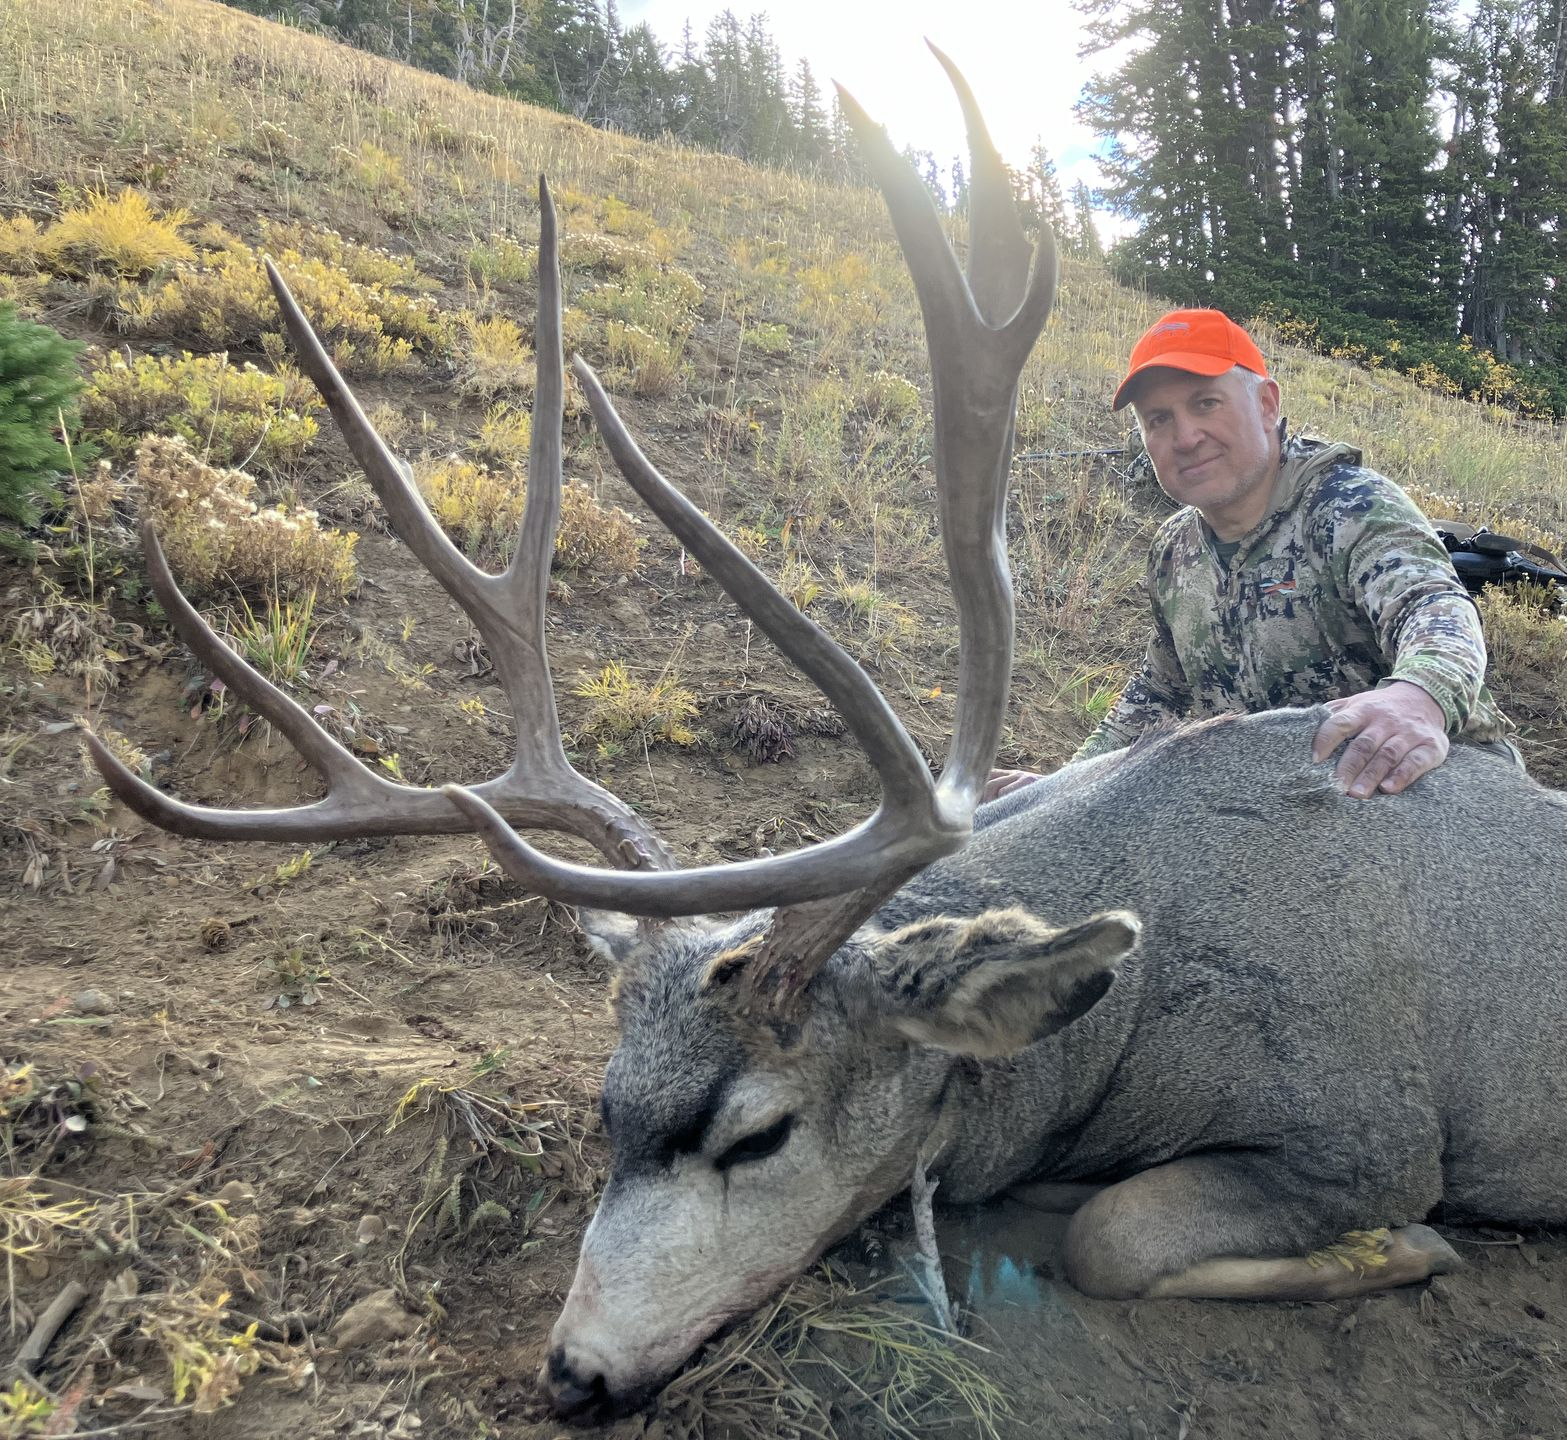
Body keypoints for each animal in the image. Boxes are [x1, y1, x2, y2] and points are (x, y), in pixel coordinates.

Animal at [86, 48, 1567, 1425]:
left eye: (755, 1135)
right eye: (605, 1109)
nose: (570, 1376)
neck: (1130, 1003)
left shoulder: (1366, 1124)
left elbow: (1114, 1231)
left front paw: (1406, 1254)